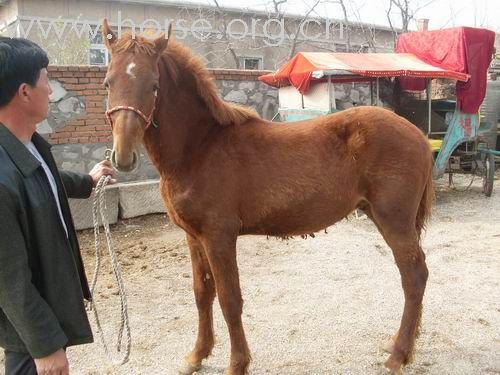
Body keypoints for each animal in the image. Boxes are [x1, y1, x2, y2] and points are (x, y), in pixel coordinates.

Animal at [100, 19, 434, 374]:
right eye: (108, 83)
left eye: (153, 86)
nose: (123, 156)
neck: (200, 147)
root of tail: (418, 135)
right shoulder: (194, 236)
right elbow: (202, 293)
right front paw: (196, 355)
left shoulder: (219, 235)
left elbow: (229, 298)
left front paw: (237, 363)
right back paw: (401, 346)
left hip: (394, 220)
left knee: (414, 276)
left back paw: (397, 354)